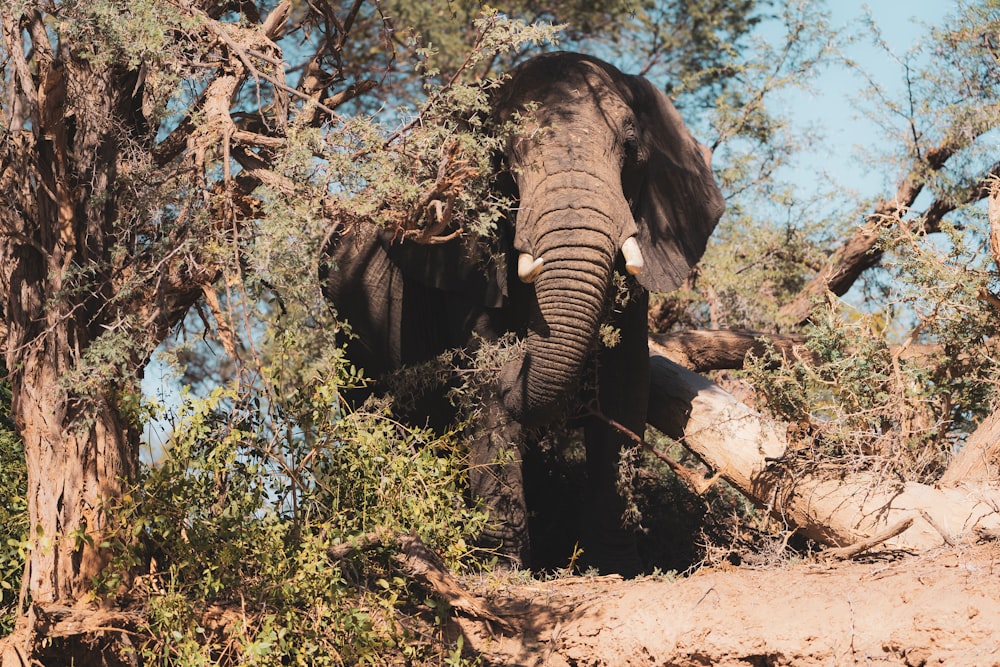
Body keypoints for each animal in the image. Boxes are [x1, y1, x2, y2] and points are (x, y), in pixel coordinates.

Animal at [324, 51, 724, 576]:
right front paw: (501, 570)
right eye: (503, 160)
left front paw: (616, 569)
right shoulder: (464, 262)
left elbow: (625, 385)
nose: (525, 348)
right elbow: (484, 381)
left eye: (631, 145)